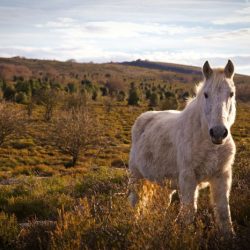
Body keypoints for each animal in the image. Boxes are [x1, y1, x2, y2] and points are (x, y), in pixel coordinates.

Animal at [129, 59, 236, 235]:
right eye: (206, 94)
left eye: (231, 94)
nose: (218, 133)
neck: (208, 143)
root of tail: (143, 118)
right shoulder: (188, 178)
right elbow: (188, 212)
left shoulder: (222, 177)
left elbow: (223, 214)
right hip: (136, 176)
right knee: (134, 202)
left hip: (164, 184)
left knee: (160, 206)